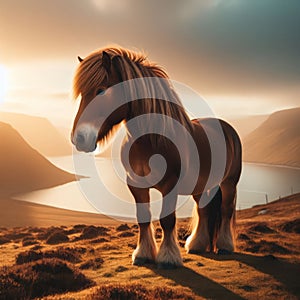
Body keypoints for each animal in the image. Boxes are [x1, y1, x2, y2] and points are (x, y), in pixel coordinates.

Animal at [71, 46, 243, 268]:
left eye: (101, 90)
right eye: (82, 93)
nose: (79, 138)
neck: (151, 140)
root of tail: (227, 128)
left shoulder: (170, 185)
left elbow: (167, 220)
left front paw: (168, 257)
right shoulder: (135, 184)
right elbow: (143, 217)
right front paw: (143, 254)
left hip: (229, 182)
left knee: (226, 209)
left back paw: (224, 246)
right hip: (202, 185)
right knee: (204, 210)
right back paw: (197, 245)